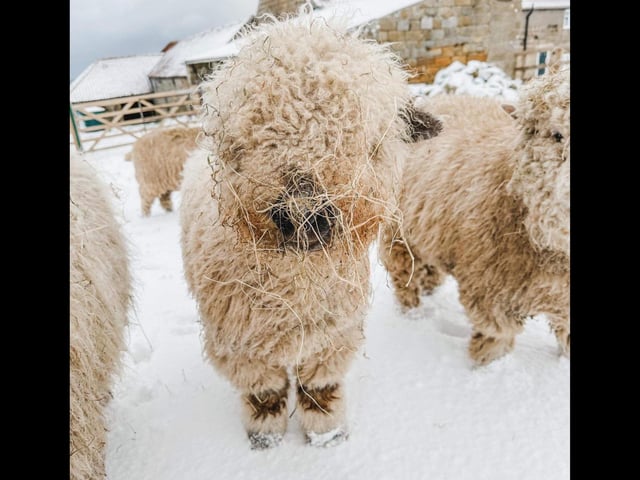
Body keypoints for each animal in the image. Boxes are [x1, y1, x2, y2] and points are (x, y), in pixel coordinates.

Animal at [179, 11, 430, 449]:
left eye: (374, 143)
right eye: (239, 142)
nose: (302, 213)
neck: (294, 295)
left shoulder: (333, 336)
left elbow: (319, 389)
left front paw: (326, 436)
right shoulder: (240, 345)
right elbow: (265, 393)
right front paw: (265, 438)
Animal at [380, 67, 570, 366]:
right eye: (557, 135)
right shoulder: (490, 292)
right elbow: (497, 335)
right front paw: (484, 363)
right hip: (398, 234)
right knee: (404, 274)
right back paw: (411, 312)